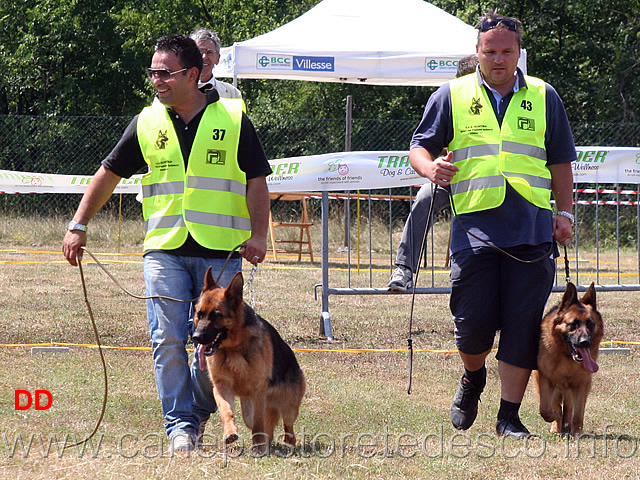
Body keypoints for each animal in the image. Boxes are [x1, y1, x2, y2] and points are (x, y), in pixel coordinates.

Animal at [191, 270, 306, 454]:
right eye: (199, 314)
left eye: (216, 315)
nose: (195, 337)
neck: (233, 349)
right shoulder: (221, 388)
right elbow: (226, 411)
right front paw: (230, 432)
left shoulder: (258, 392)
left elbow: (259, 423)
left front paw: (258, 446)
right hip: (249, 408)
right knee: (264, 425)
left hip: (289, 406)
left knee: (287, 423)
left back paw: (288, 439)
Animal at [536, 284, 604, 436]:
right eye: (573, 324)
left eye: (590, 324)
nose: (585, 342)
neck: (566, 357)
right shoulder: (545, 380)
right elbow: (545, 409)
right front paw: (554, 418)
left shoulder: (581, 384)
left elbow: (578, 414)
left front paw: (576, 434)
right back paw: (557, 426)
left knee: (569, 408)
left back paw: (566, 426)